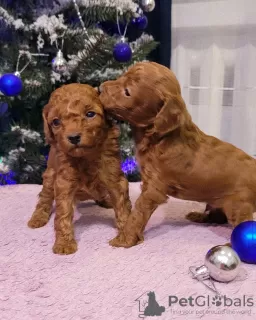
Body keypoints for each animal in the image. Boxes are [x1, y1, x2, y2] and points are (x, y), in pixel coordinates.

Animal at [27, 84, 131, 254]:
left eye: (90, 114)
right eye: (56, 122)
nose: (73, 137)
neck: (86, 156)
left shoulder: (115, 178)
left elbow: (122, 207)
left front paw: (128, 236)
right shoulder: (64, 183)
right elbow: (63, 214)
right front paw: (64, 244)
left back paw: (106, 200)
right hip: (50, 175)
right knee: (44, 198)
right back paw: (37, 217)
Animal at [99, 62, 256, 248]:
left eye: (127, 91)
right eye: (122, 76)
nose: (100, 87)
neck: (159, 136)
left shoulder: (154, 187)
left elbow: (138, 213)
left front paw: (125, 239)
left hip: (238, 204)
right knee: (218, 217)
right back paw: (199, 216)